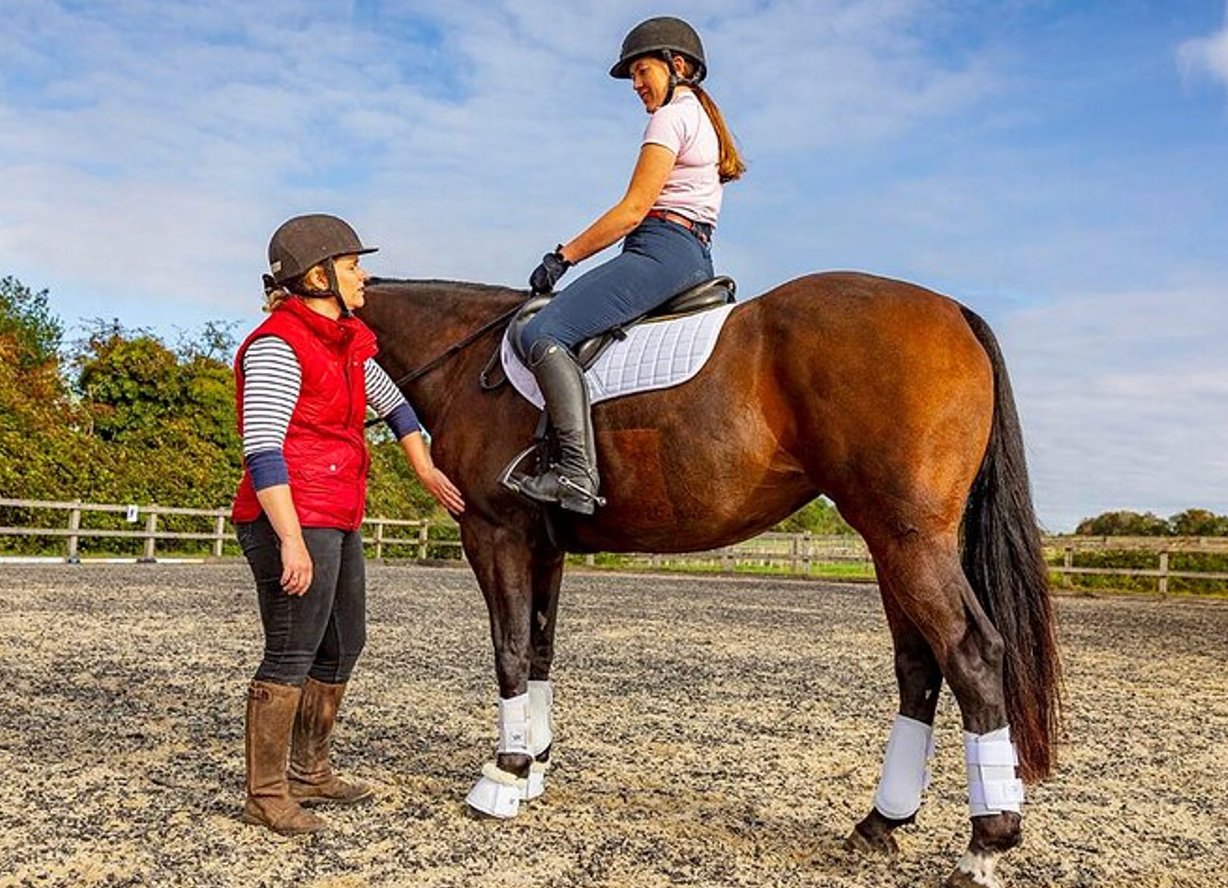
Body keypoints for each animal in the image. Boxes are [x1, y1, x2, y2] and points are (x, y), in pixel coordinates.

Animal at [358, 271, 1061, 888]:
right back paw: (880, 823)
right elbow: (538, 650)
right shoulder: (543, 546)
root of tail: (953, 311)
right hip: (892, 545)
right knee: (919, 666)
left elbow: (507, 649)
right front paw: (534, 768)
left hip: (911, 540)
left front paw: (503, 777)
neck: (464, 358)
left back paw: (984, 846)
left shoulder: (493, 531)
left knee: (971, 654)